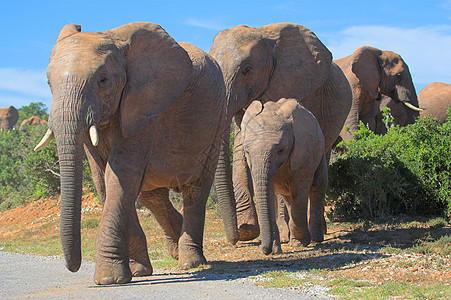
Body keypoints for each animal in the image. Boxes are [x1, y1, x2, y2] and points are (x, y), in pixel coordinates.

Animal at [33, 22, 228, 284]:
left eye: (103, 80)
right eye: (48, 83)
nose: (73, 266)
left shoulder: (144, 104)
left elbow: (121, 176)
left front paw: (109, 280)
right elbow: (104, 181)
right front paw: (137, 272)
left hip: (216, 121)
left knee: (195, 189)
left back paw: (190, 262)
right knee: (151, 195)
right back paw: (175, 249)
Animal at [244, 99, 328, 255]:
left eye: (280, 150)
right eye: (247, 152)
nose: (264, 250)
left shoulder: (303, 153)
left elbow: (300, 191)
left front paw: (300, 243)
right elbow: (268, 194)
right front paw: (275, 250)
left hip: (319, 150)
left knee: (318, 187)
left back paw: (316, 239)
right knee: (289, 198)